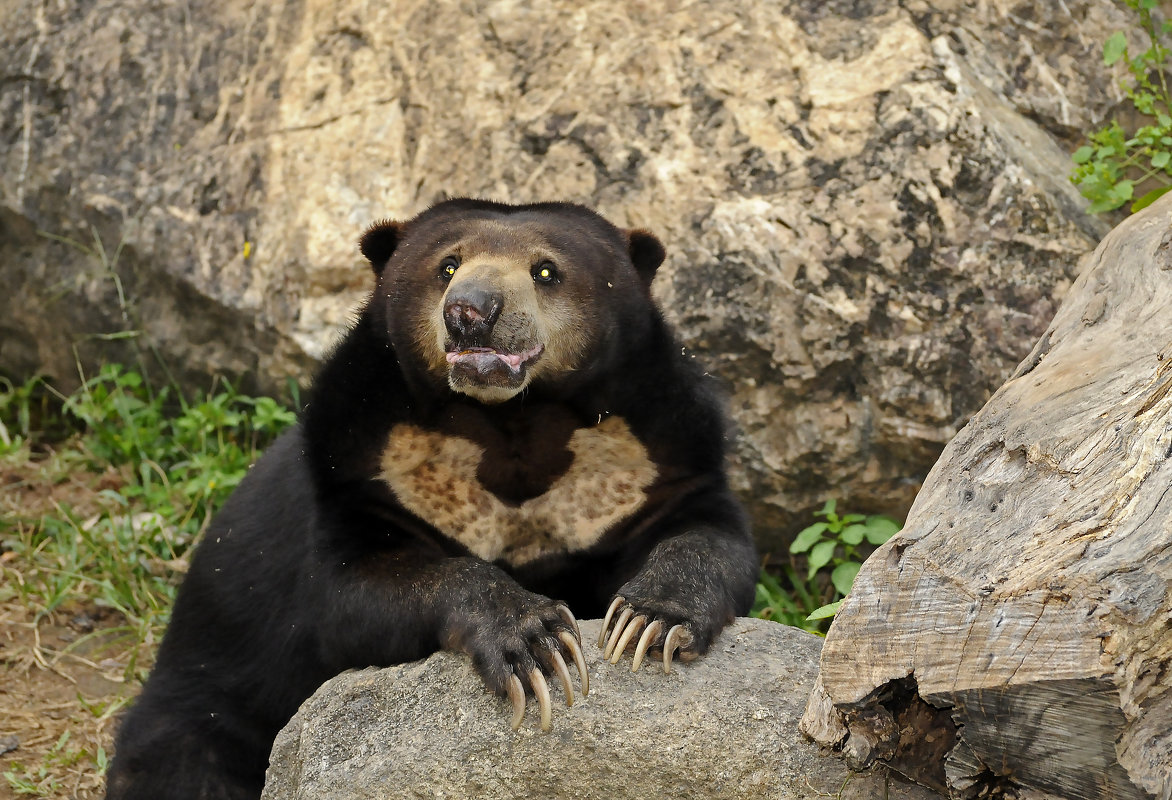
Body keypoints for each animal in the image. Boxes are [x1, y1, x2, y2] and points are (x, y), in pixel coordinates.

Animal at [105, 200, 754, 800]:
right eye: (447, 266)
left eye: (546, 270)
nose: (471, 313)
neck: (513, 424)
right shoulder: (365, 468)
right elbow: (350, 592)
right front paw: (535, 643)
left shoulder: (653, 457)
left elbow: (709, 535)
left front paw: (649, 622)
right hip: (207, 699)